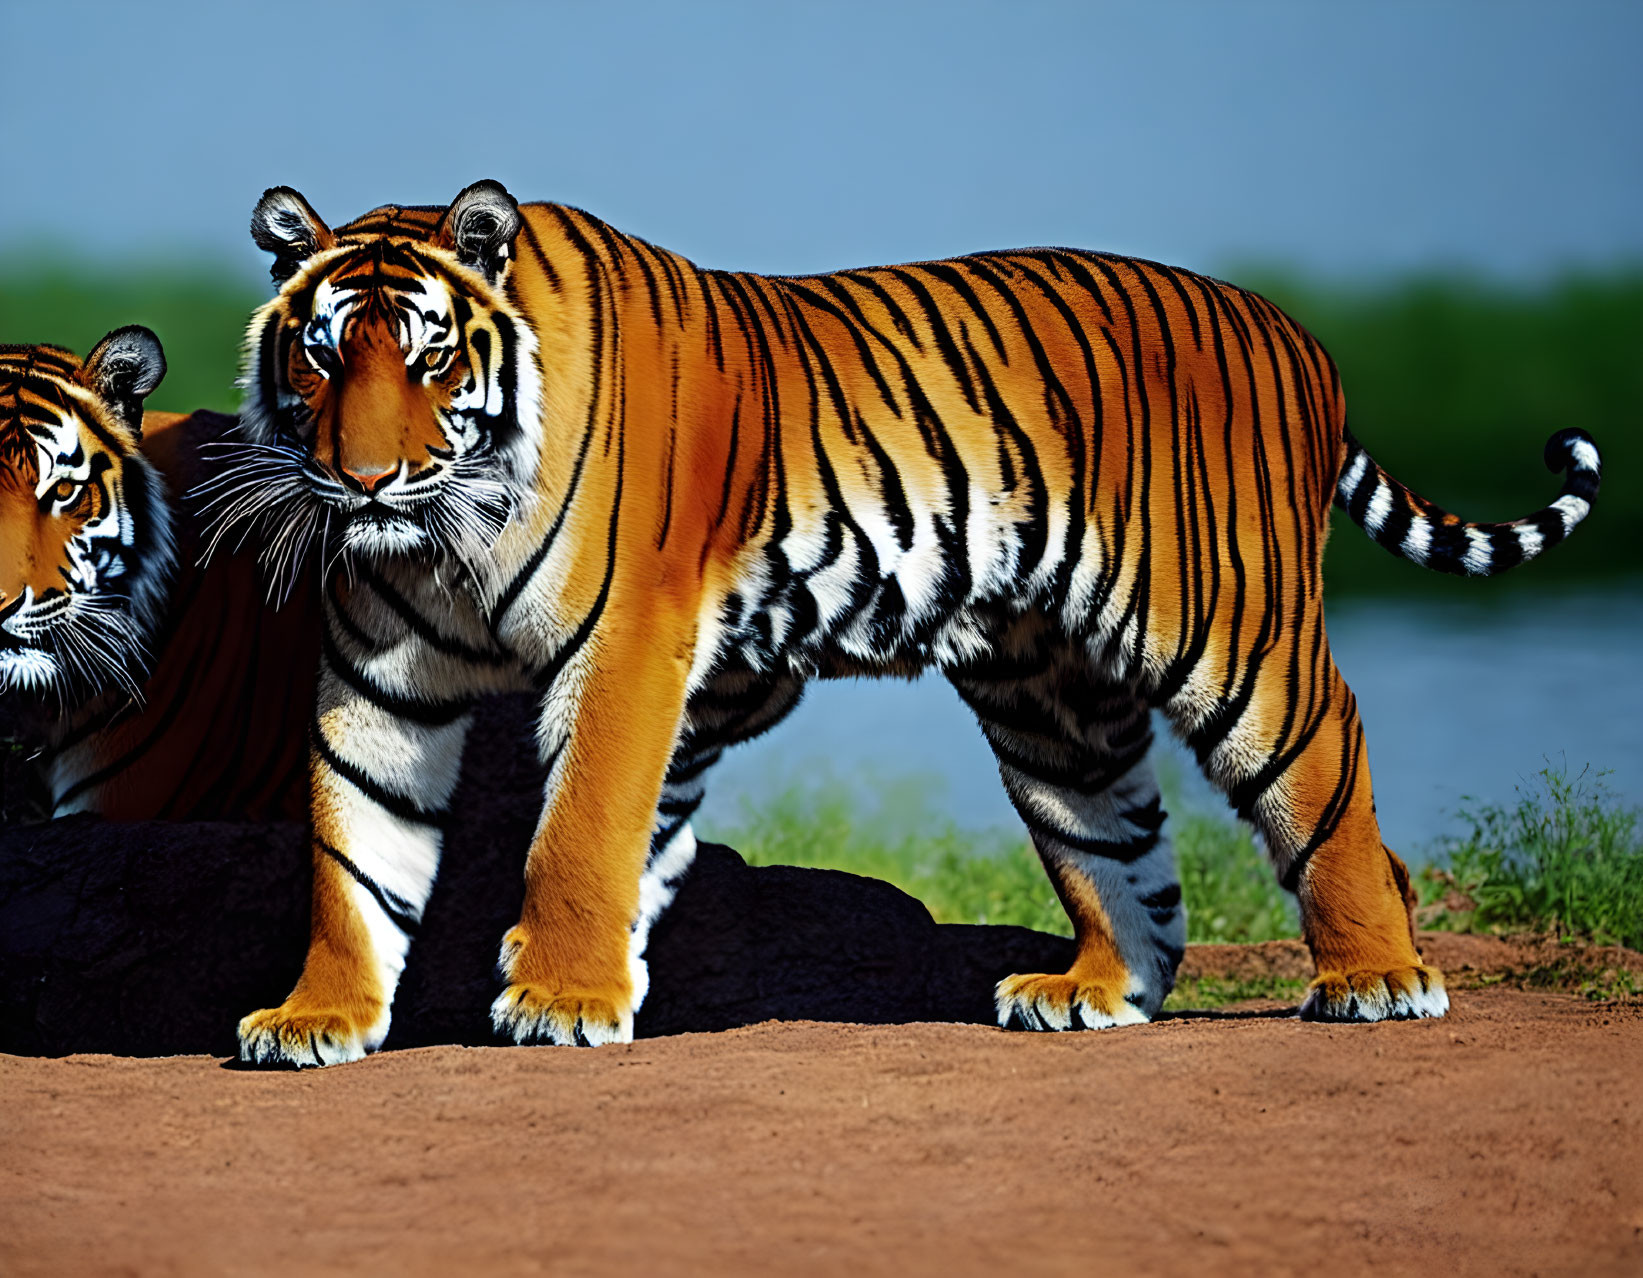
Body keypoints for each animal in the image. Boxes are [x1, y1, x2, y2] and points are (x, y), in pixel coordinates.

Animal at [225, 174, 1596, 1057]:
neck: (437, 536)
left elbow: (577, 835)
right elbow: (355, 852)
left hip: (1231, 625)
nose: (361, 481)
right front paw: (318, 1019)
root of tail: (1292, 329)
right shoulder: (381, 676)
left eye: (430, 357)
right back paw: (1092, 993)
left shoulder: (623, 646)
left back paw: (1374, 979)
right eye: (322, 354)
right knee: (1117, 846)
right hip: (1047, 698)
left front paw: (560, 999)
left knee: (1328, 765)